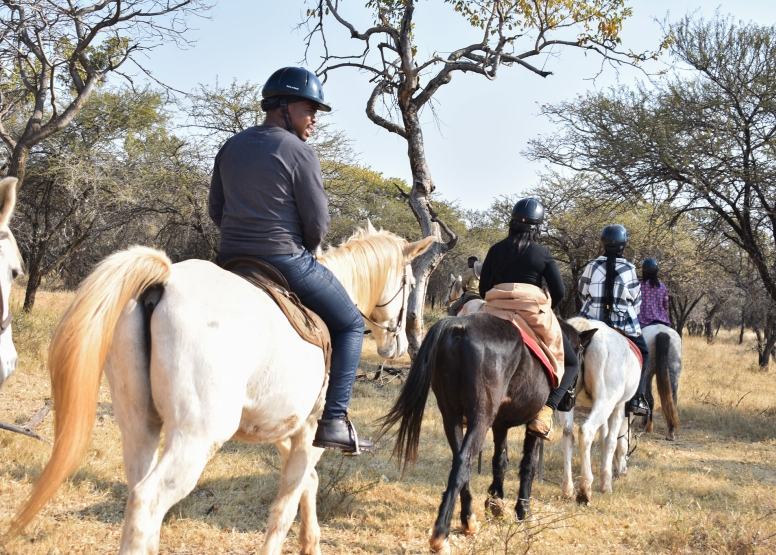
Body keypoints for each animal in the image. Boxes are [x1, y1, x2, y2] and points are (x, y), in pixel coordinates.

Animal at [6, 225, 434, 555]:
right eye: (411, 283)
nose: (396, 345)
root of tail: (164, 280)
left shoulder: (287, 431)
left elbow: (306, 487)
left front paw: (311, 543)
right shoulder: (310, 432)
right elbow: (285, 507)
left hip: (139, 424)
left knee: (137, 493)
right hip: (197, 438)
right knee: (148, 502)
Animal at [380, 314, 596, 552]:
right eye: (580, 354)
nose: (569, 403)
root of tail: (458, 327)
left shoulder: (500, 424)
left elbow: (500, 461)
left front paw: (496, 502)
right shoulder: (533, 426)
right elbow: (528, 466)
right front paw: (523, 512)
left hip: (452, 416)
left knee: (460, 460)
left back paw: (469, 522)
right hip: (480, 418)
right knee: (463, 460)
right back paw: (441, 535)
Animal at [560, 318, 640, 504]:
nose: (622, 471)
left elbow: (603, 439)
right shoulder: (618, 407)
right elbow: (611, 441)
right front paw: (606, 484)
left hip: (568, 400)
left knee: (568, 434)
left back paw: (568, 488)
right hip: (606, 401)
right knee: (586, 431)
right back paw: (585, 489)